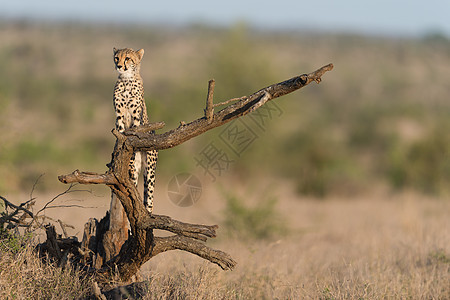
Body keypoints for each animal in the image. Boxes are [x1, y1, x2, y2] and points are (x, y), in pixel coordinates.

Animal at [112, 47, 156, 213]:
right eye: (116, 57)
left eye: (128, 58)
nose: (119, 66)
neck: (126, 81)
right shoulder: (119, 116)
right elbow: (121, 137)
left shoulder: (137, 118)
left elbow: (132, 139)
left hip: (150, 169)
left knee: (149, 197)